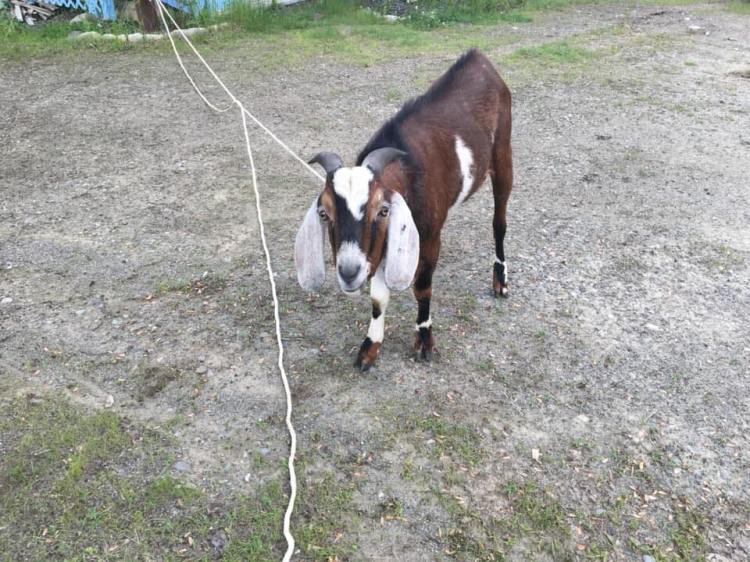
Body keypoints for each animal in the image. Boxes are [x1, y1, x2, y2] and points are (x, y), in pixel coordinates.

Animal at [296, 50, 516, 370]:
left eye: (383, 210)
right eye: (324, 213)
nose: (349, 272)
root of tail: (481, 60)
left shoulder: (430, 237)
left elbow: (422, 287)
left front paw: (424, 340)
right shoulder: (378, 246)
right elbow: (378, 298)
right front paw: (370, 347)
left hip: (503, 156)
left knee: (499, 223)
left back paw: (500, 280)